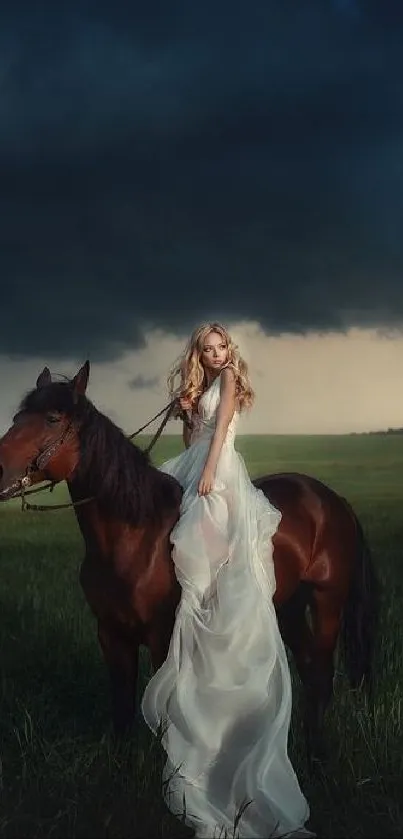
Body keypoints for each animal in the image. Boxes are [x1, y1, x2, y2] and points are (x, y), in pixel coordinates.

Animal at [0, 360, 378, 768]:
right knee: (309, 668)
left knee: (321, 672)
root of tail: (332, 499)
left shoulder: (162, 635)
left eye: (52, 418)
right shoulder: (111, 634)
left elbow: (161, 713)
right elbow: (122, 708)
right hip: (290, 606)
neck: (135, 536)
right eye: (18, 416)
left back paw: (317, 756)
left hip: (327, 601)